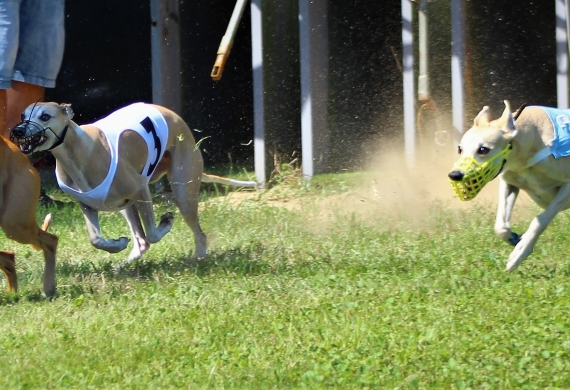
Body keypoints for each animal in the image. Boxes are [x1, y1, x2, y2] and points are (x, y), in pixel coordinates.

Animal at [10, 101, 255, 268]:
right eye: (22, 115)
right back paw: (123, 264)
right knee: (141, 241)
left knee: (193, 232)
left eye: (44, 116)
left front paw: (166, 221)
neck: (79, 151)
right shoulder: (87, 204)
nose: (18, 130)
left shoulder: (140, 187)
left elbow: (153, 233)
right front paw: (117, 244)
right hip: (124, 205)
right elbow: (96, 239)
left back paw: (199, 257)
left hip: (182, 190)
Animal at [446, 100, 568, 272]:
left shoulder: (566, 188)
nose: (455, 175)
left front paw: (520, 251)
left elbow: (541, 219)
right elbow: (500, 226)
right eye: (460, 149)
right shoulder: (509, 182)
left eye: (483, 149)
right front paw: (513, 238)